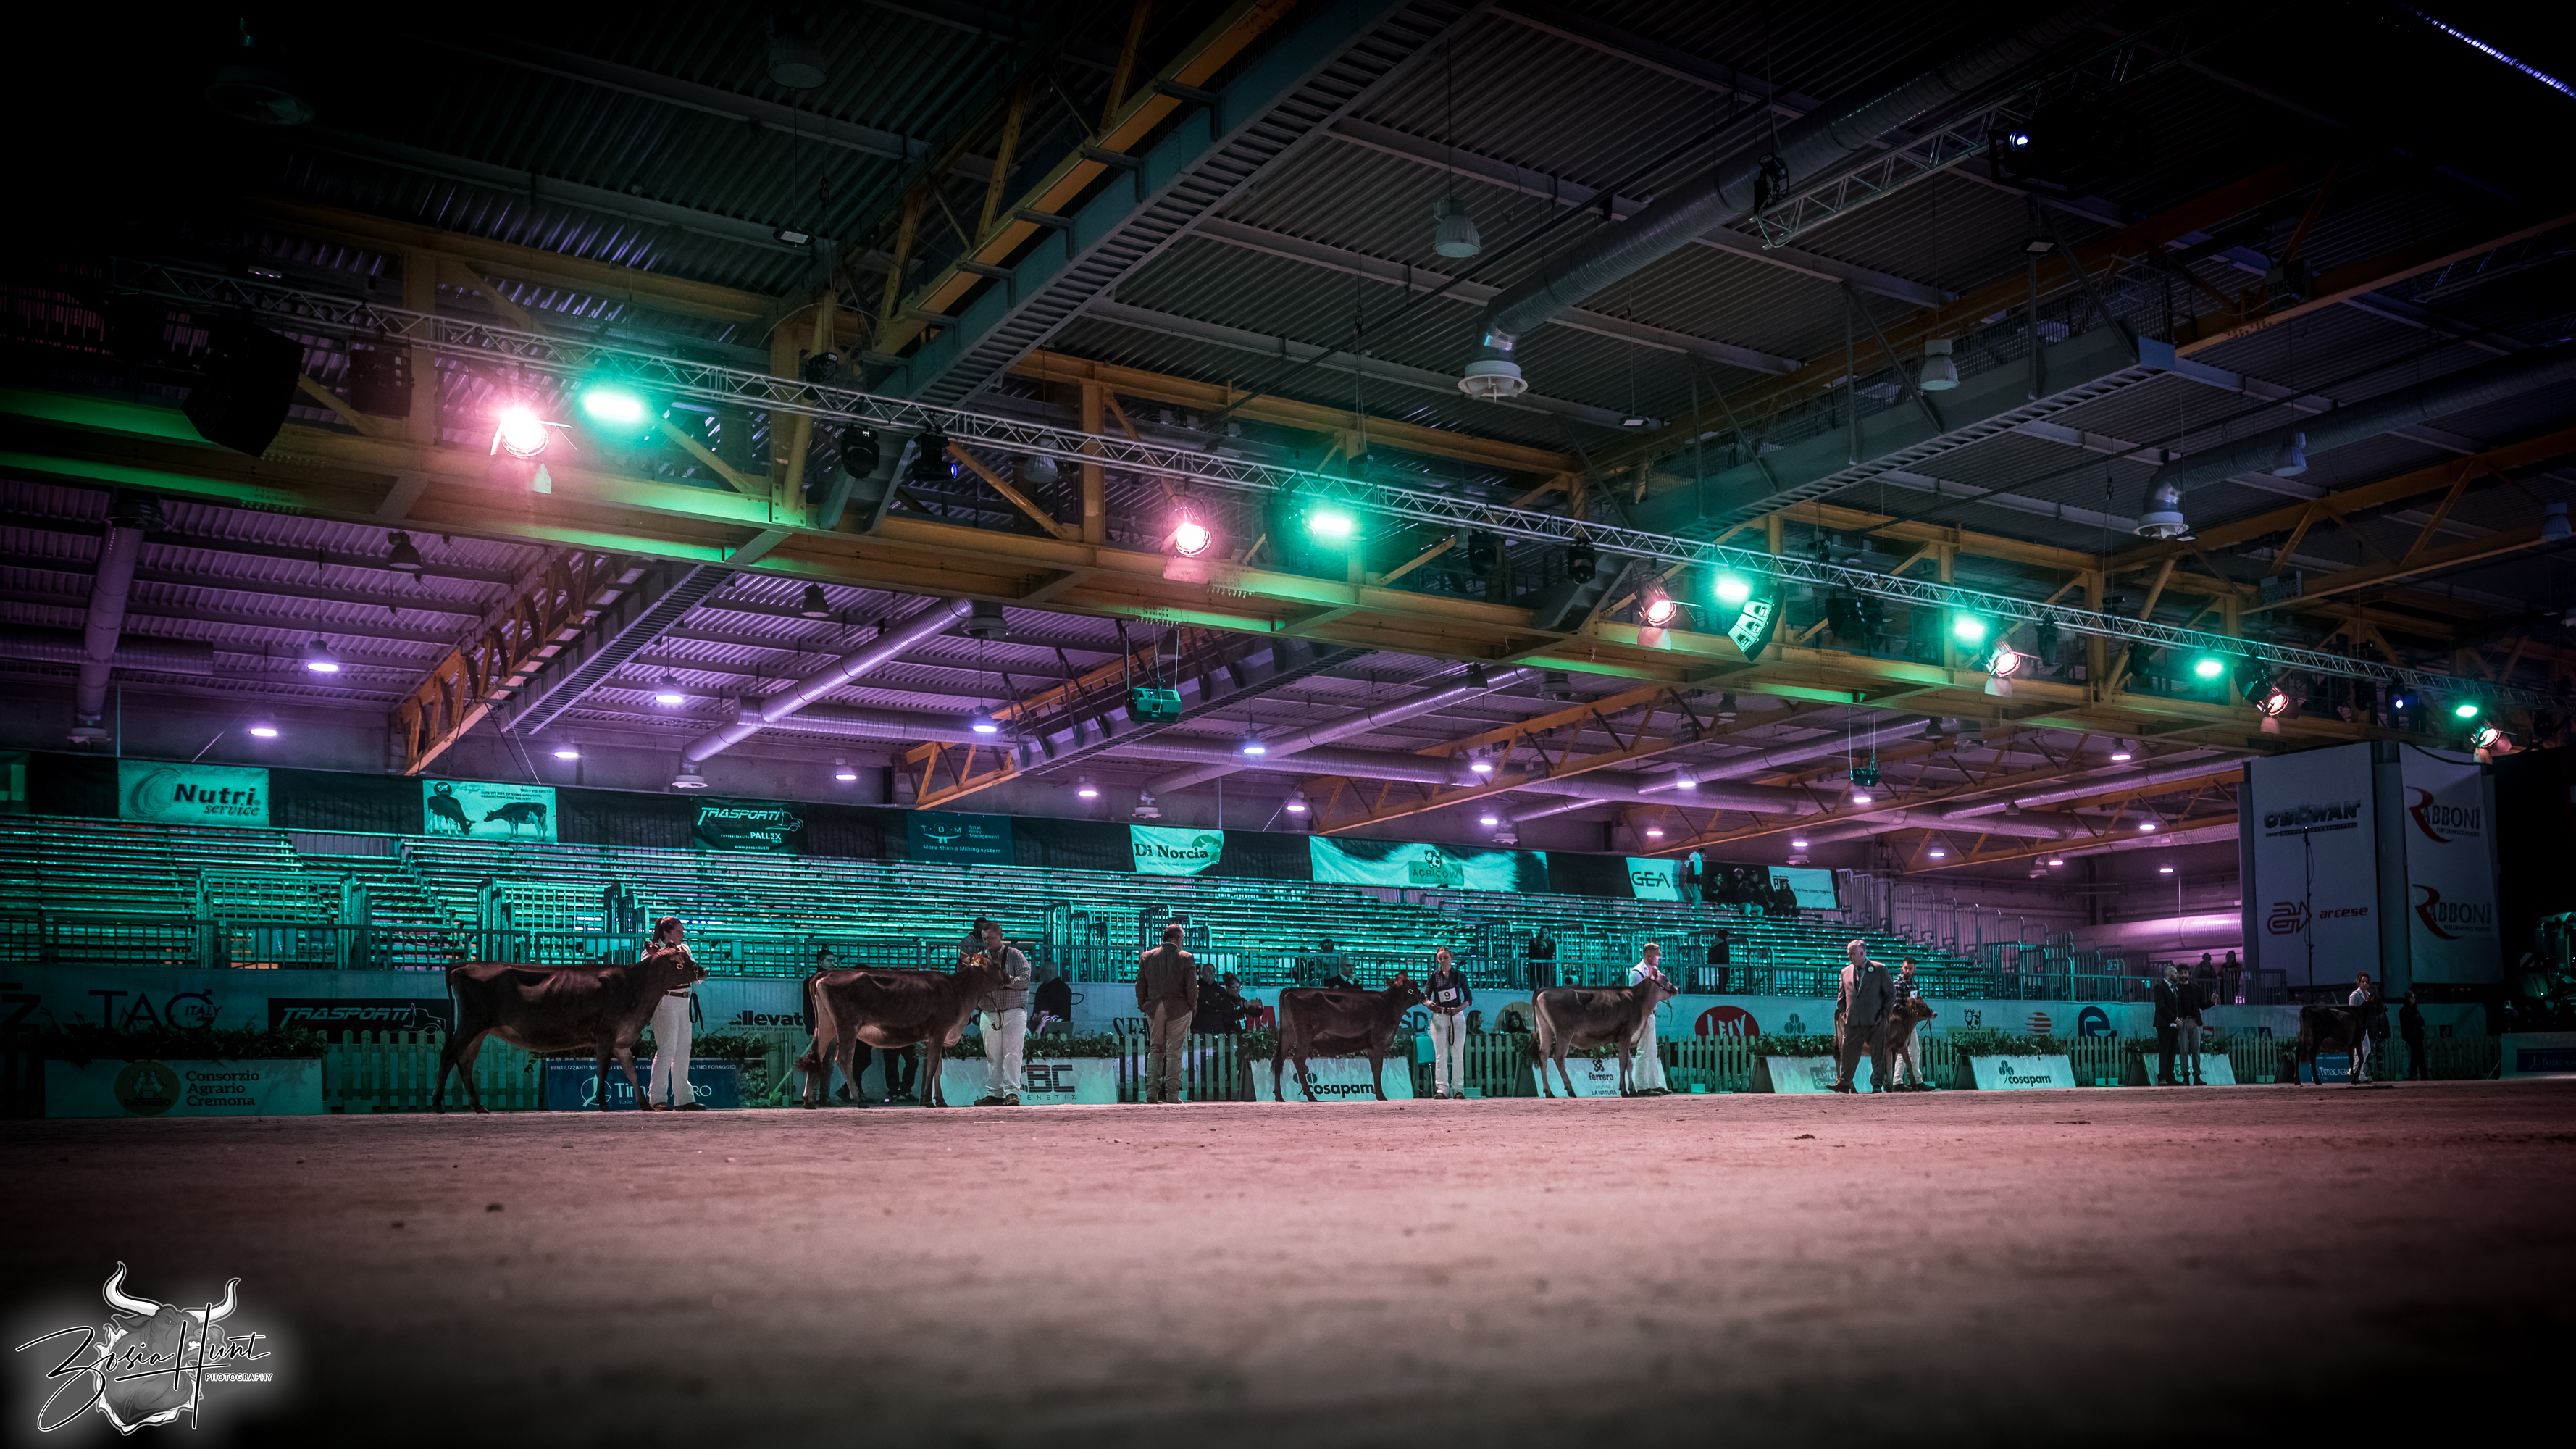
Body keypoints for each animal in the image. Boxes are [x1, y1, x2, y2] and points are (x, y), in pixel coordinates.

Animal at [434, 947, 709, 1112]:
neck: (637, 987)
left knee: (465, 1061)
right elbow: (603, 1069)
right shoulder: (605, 1035)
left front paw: (645, 1105)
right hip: (471, 1023)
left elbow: (632, 1073)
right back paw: (438, 1104)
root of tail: (463, 965)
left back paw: (479, 1106)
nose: (704, 970)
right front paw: (603, 1104)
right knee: (448, 1054)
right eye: (681, 964)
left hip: (479, 1029)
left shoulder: (622, 1040)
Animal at [795, 953, 1001, 1108]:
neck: (958, 991)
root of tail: (825, 975)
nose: (1007, 978)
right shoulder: (938, 1033)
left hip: (826, 1026)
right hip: (848, 1027)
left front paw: (939, 1100)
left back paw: (808, 1101)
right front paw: (929, 1101)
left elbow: (937, 1069)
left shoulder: (934, 1039)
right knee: (844, 1059)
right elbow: (933, 1066)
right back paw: (859, 1100)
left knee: (817, 1056)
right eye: (997, 966)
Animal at [1270, 976, 1425, 1102]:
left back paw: (1279, 1097)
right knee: (1298, 1060)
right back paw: (1311, 1097)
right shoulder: (1378, 1041)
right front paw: (1381, 1096)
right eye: (1412, 988)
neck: (1389, 1004)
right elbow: (1378, 1068)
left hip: (1288, 1033)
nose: (1423, 995)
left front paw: (1377, 1093)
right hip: (1305, 1035)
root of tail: (1290, 990)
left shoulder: (1370, 1046)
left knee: (1279, 1059)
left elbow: (1374, 1068)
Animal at [1530, 975, 1678, 1098]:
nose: (1676, 988)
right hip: (1564, 1032)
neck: (1639, 1000)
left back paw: (1549, 1092)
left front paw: (1632, 1090)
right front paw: (1624, 1091)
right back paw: (1570, 1090)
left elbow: (1630, 1064)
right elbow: (1623, 1063)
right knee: (1558, 1057)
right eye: (1665, 978)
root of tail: (1545, 989)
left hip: (1546, 1029)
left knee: (1543, 1055)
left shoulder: (1627, 1039)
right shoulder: (1625, 1035)